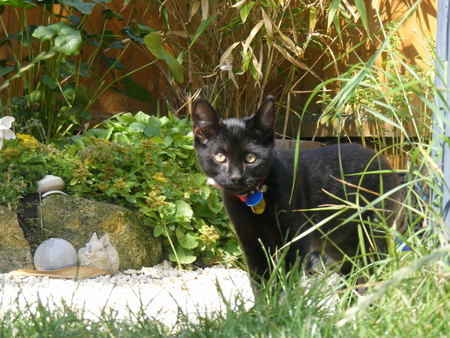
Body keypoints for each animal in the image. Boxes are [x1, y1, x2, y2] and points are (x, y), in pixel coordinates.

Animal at [192, 95, 404, 286]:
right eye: (219, 156)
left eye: (251, 158)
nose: (236, 177)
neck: (256, 199)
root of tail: (384, 161)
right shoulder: (251, 242)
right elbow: (260, 281)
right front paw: (265, 304)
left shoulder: (295, 239)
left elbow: (285, 278)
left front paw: (284, 302)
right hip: (338, 240)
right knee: (354, 269)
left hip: (373, 232)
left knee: (374, 267)